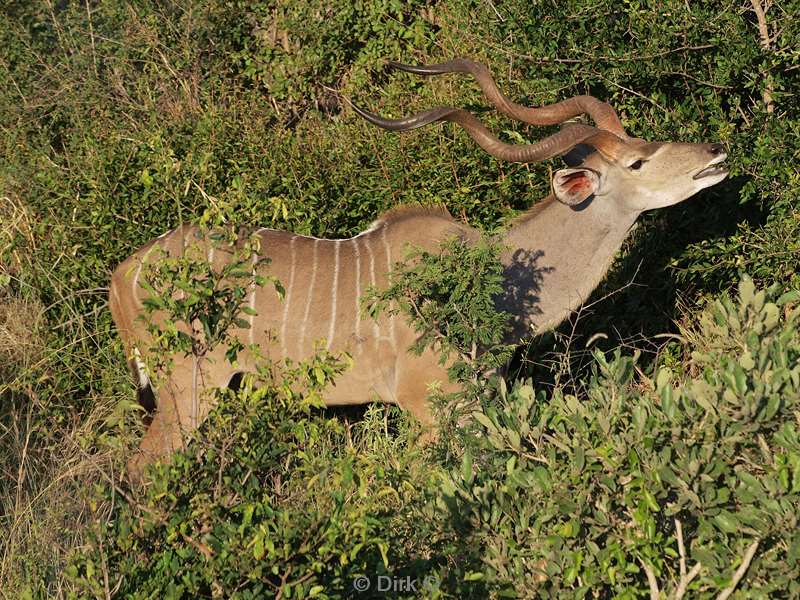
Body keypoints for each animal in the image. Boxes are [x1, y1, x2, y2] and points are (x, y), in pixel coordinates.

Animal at [109, 58, 728, 476]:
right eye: (637, 162)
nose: (716, 154)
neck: (499, 278)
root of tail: (124, 273)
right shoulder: (426, 405)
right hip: (189, 390)